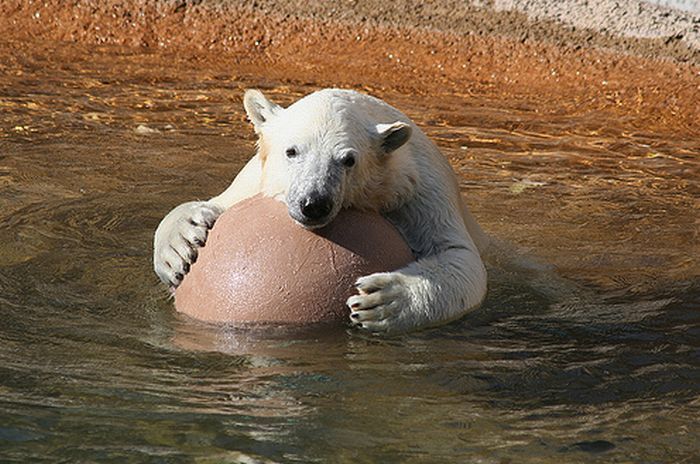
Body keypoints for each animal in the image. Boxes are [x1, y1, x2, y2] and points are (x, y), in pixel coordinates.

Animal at [156, 88, 490, 334]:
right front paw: (178, 251)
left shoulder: (418, 191)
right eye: (292, 151)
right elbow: (213, 204)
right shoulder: (254, 182)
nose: (314, 204)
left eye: (348, 160)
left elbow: (460, 257)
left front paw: (382, 301)